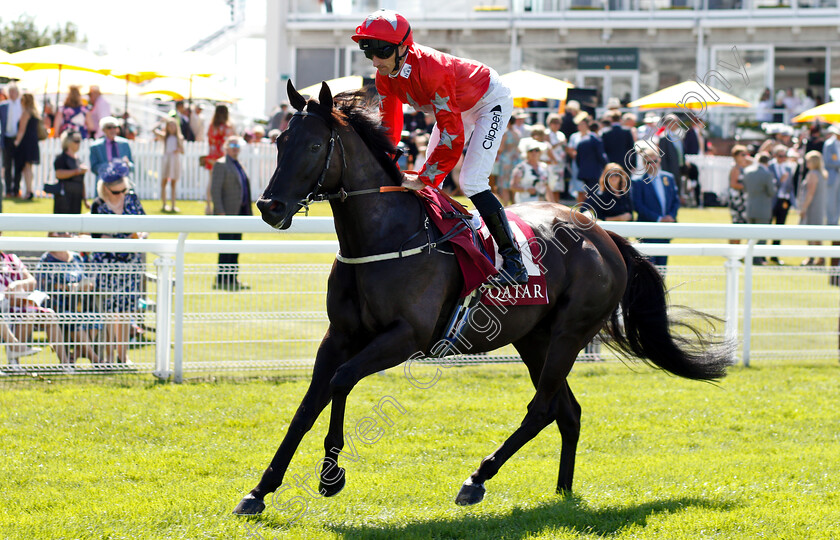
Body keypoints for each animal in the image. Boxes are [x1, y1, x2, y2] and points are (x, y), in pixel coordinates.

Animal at [233, 81, 732, 516]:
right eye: (279, 142)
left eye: (315, 147)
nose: (269, 206)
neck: (383, 237)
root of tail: (604, 236)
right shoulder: (339, 334)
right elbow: (308, 404)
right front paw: (259, 489)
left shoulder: (404, 337)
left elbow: (340, 382)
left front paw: (330, 475)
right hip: (534, 338)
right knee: (567, 412)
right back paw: (562, 493)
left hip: (569, 334)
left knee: (542, 408)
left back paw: (477, 479)